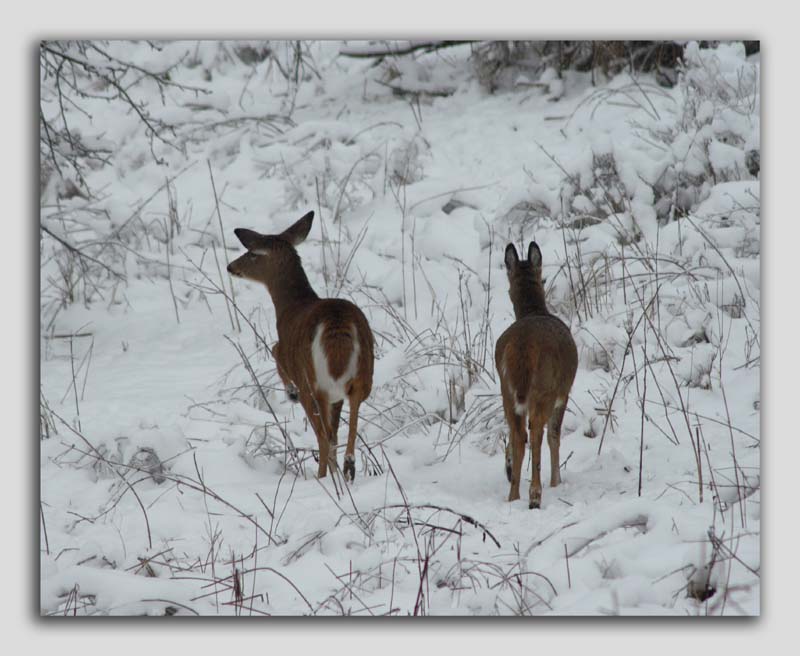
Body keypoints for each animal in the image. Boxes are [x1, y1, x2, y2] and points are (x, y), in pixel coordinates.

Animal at [227, 211, 374, 482]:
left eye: (252, 253)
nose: (230, 266)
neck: (291, 307)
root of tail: (337, 326)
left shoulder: (287, 354)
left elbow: (274, 350)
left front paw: (289, 392)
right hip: (364, 375)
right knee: (348, 419)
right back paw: (348, 466)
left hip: (314, 383)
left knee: (323, 436)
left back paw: (323, 477)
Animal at [494, 243, 576, 510]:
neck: (534, 310)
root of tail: (522, 346)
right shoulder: (563, 392)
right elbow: (554, 434)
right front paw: (556, 481)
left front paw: (509, 468)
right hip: (544, 386)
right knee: (537, 432)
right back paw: (535, 494)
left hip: (506, 388)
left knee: (519, 433)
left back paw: (513, 494)